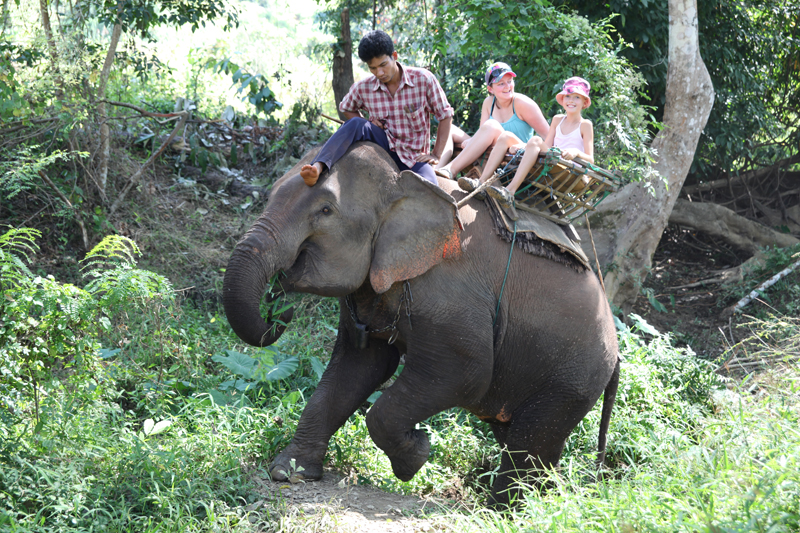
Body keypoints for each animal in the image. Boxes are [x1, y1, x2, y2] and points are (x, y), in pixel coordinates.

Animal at [222, 142, 620, 506]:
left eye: (325, 210)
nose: (280, 307)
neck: (403, 182)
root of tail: (617, 349)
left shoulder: (454, 293)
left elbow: (466, 373)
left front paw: (414, 458)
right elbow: (360, 365)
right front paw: (288, 473)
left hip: (572, 378)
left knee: (529, 442)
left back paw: (504, 511)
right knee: (532, 441)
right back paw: (546, 500)